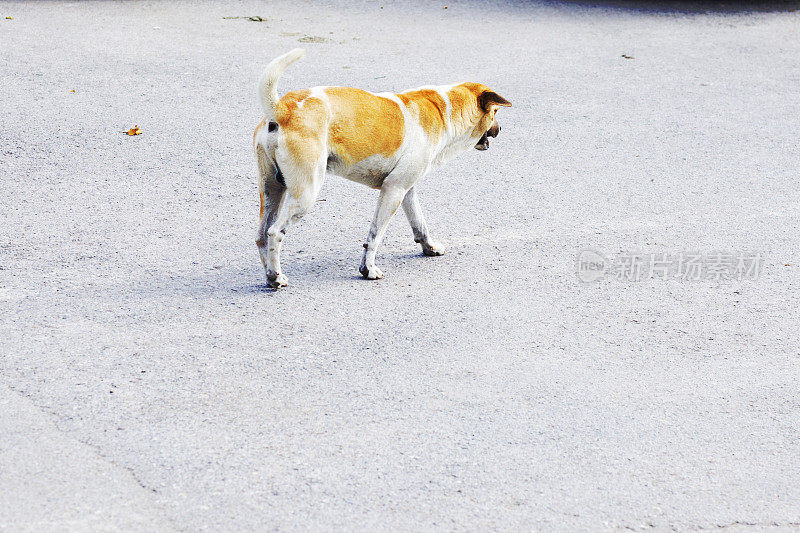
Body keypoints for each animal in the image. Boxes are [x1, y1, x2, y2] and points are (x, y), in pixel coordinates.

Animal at [253, 50, 510, 286]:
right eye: (496, 112)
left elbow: (420, 223)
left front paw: (429, 247)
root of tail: (283, 108)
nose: (500, 130)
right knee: (275, 233)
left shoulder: (407, 190)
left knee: (262, 235)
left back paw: (269, 275)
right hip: (306, 194)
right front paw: (368, 269)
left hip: (273, 190)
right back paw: (276, 278)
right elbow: (375, 235)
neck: (442, 109)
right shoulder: (392, 190)